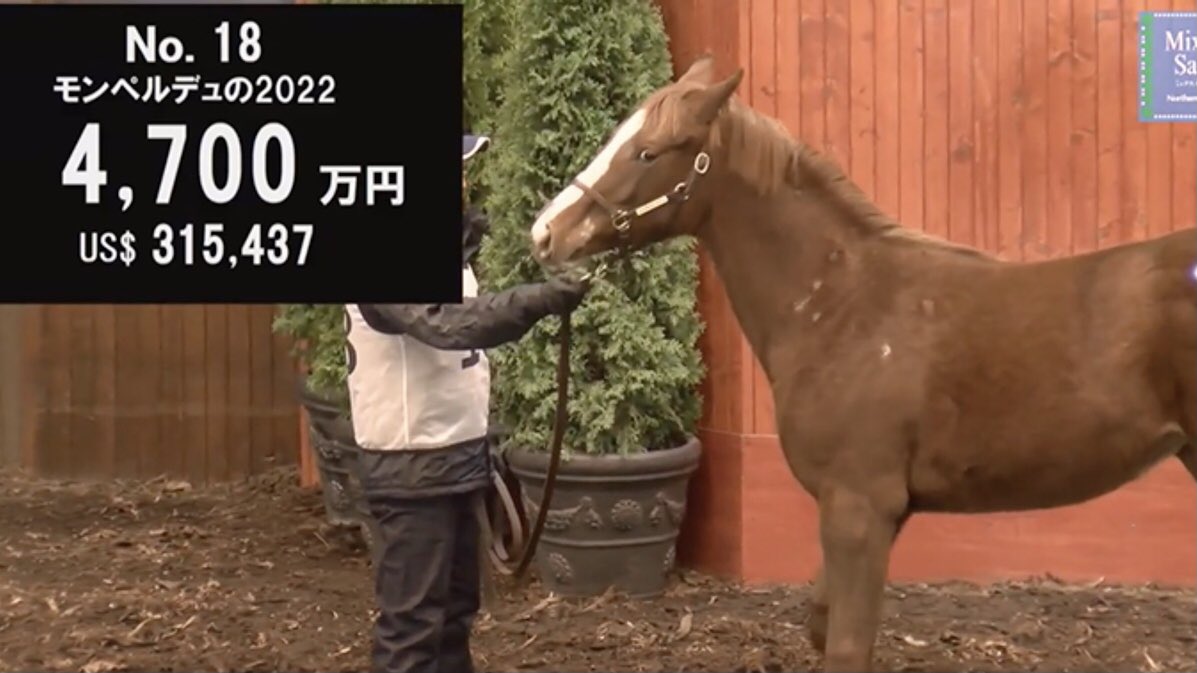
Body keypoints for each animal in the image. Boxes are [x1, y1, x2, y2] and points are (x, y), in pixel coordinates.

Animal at [526, 54, 1197, 672]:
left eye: (649, 152)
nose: (545, 233)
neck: (840, 306)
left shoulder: (859, 506)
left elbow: (847, 646)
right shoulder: (871, 510)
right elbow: (824, 625)